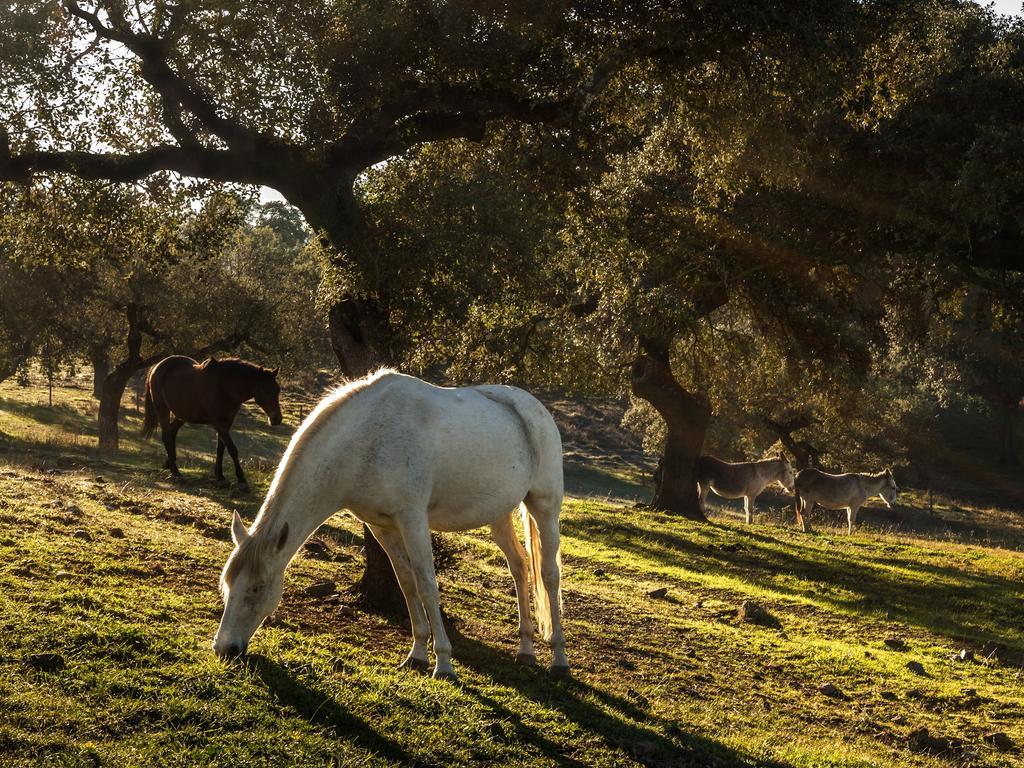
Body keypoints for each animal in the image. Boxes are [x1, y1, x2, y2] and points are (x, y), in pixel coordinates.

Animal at [142, 356, 282, 487]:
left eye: (277, 390)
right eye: (264, 390)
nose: (276, 419)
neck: (224, 388)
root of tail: (156, 367)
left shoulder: (226, 423)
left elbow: (220, 449)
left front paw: (220, 476)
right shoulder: (218, 423)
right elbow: (232, 449)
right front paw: (241, 479)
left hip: (182, 414)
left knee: (172, 432)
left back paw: (169, 463)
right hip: (162, 409)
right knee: (167, 436)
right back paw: (176, 472)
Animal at [212, 370, 569, 679]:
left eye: (257, 588)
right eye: (228, 585)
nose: (224, 648)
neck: (367, 439)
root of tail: (534, 407)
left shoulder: (412, 520)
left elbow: (427, 584)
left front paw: (443, 663)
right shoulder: (382, 527)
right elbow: (407, 583)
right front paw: (417, 655)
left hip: (544, 506)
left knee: (549, 575)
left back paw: (559, 658)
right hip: (498, 515)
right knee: (520, 566)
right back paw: (526, 650)